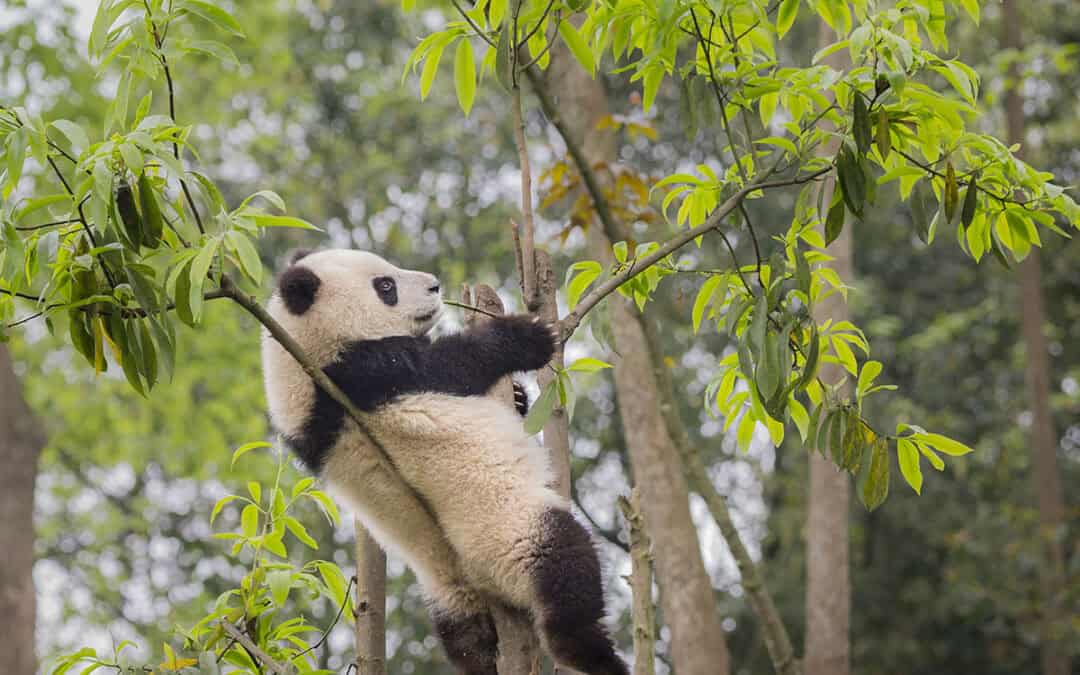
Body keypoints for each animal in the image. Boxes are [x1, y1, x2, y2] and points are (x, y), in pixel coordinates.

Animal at [261, 248, 628, 675]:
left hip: (447, 590)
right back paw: (596, 656)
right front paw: (527, 336)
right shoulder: (365, 373)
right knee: (566, 570)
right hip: (511, 531)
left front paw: (519, 396)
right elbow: (452, 364)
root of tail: (480, 579)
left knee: (465, 641)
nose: (435, 285)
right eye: (385, 286)